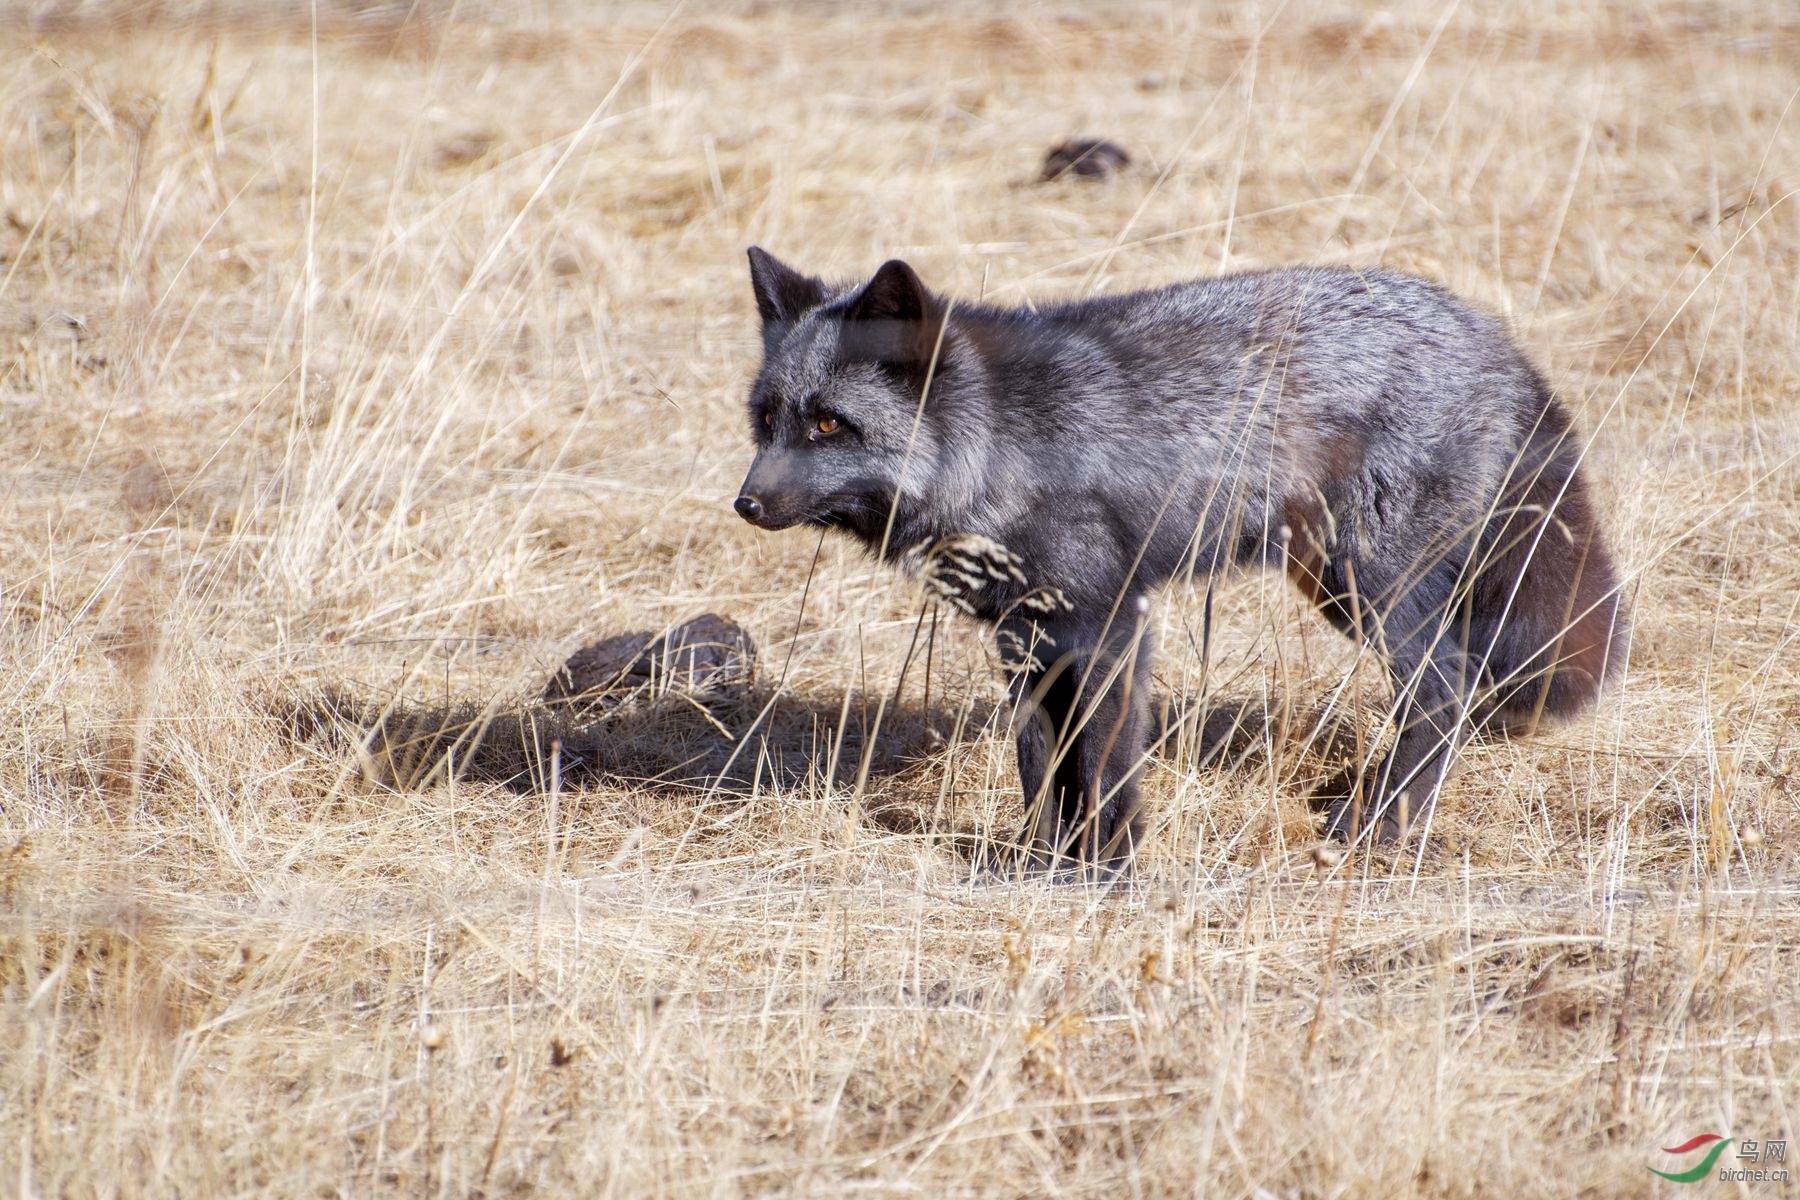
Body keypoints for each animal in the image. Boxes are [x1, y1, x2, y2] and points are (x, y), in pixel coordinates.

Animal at [730, 251, 1634, 874]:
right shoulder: (1026, 638)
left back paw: (1374, 829)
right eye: (768, 420)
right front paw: (1036, 861)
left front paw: (1105, 867)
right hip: (1335, 589)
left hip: (1372, 590)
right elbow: (1042, 766)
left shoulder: (1107, 626)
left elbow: (1102, 768)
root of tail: (1494, 338)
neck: (998, 447)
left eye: (830, 425)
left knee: (1443, 688)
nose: (746, 504)